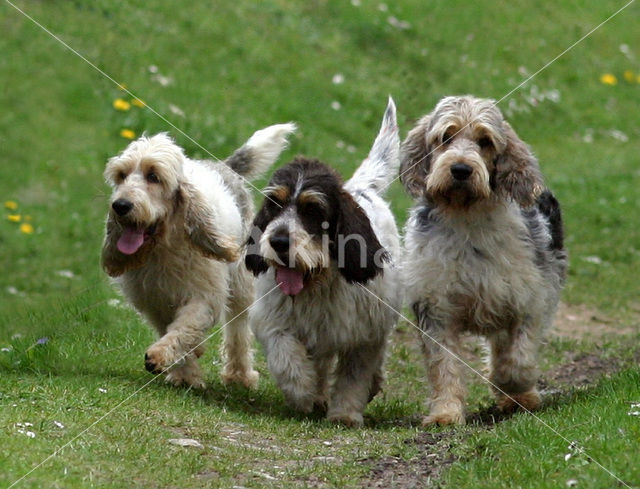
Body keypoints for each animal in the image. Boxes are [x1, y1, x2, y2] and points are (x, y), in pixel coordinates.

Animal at [102, 125, 296, 388]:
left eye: (154, 176)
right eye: (121, 175)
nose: (120, 205)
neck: (165, 247)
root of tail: (225, 166)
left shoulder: (204, 297)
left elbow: (185, 327)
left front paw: (160, 356)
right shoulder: (154, 302)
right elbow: (172, 329)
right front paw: (185, 371)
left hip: (240, 284)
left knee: (238, 329)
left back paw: (239, 375)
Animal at [244, 100, 400, 428]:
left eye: (313, 210)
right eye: (274, 205)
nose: (279, 241)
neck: (318, 283)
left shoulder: (363, 336)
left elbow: (354, 377)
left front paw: (345, 414)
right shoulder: (274, 321)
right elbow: (286, 357)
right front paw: (303, 393)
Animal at [398, 94, 568, 424]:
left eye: (485, 141)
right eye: (446, 136)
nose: (461, 169)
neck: (466, 216)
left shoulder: (530, 298)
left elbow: (519, 357)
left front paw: (511, 385)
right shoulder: (436, 307)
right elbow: (444, 364)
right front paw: (446, 412)